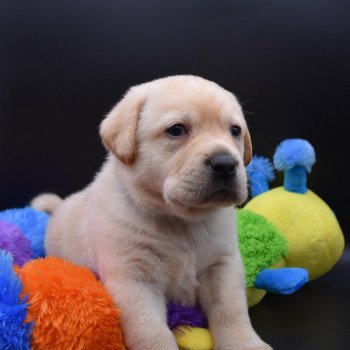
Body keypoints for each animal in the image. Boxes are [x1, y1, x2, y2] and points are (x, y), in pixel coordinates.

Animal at [32, 75, 270, 348]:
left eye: (235, 131)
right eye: (176, 130)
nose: (226, 164)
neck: (181, 222)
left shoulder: (223, 265)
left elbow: (231, 310)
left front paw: (243, 343)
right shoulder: (133, 281)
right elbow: (152, 332)